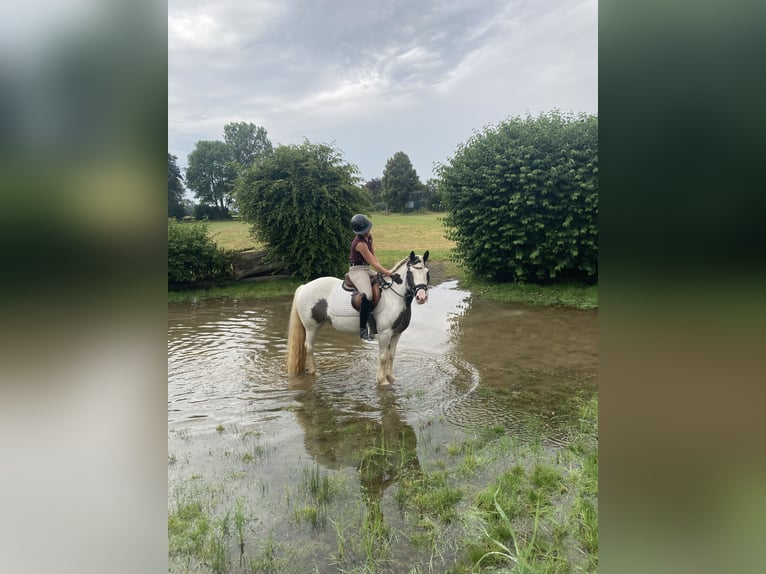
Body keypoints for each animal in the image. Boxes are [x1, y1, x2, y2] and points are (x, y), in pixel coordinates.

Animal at [288, 252, 432, 388]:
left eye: (427, 272)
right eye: (410, 273)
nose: (421, 297)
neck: (394, 297)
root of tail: (304, 287)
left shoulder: (396, 333)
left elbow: (391, 355)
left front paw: (391, 377)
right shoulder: (385, 333)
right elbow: (383, 357)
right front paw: (382, 381)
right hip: (311, 327)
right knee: (309, 347)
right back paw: (314, 372)